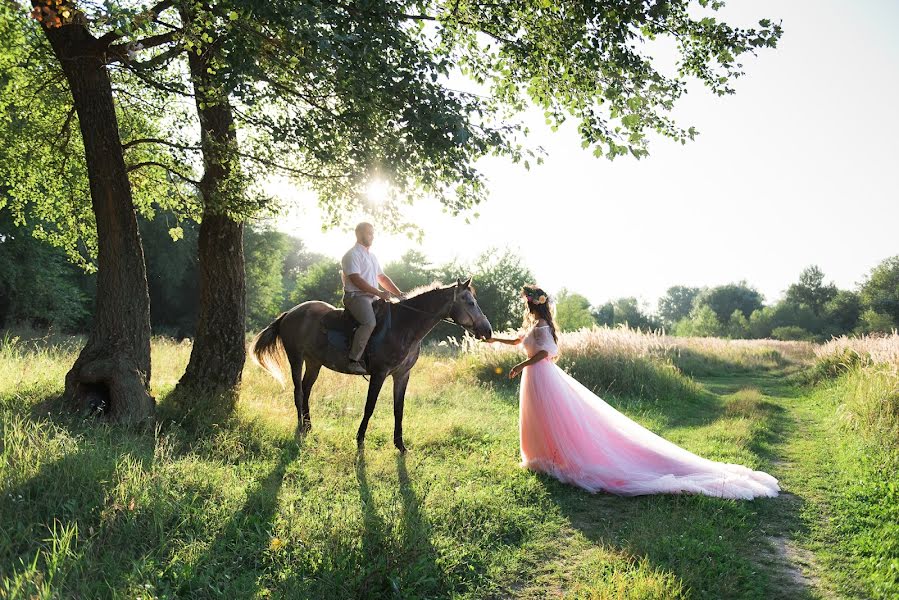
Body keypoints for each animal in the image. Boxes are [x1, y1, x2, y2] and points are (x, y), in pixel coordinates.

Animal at [251, 278, 492, 452]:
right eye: (470, 302)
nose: (487, 331)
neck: (403, 326)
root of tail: (290, 313)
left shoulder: (402, 375)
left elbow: (398, 409)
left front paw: (400, 445)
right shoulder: (379, 374)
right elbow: (370, 406)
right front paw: (360, 439)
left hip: (314, 362)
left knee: (307, 389)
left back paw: (309, 426)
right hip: (296, 357)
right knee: (298, 391)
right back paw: (301, 427)